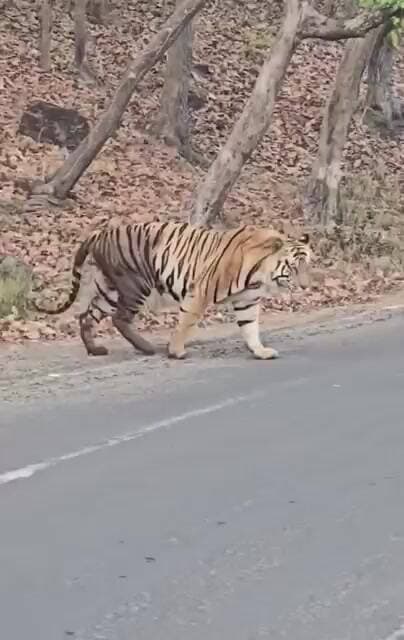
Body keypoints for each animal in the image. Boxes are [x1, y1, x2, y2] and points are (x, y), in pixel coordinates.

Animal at [33, 221, 312, 360]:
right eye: (293, 267)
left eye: (309, 264)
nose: (307, 285)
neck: (260, 276)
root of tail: (98, 233)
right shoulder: (200, 292)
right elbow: (185, 324)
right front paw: (176, 352)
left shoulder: (248, 302)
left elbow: (250, 328)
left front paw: (260, 351)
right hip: (136, 284)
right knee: (119, 318)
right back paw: (147, 348)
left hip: (109, 289)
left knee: (87, 316)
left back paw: (95, 350)